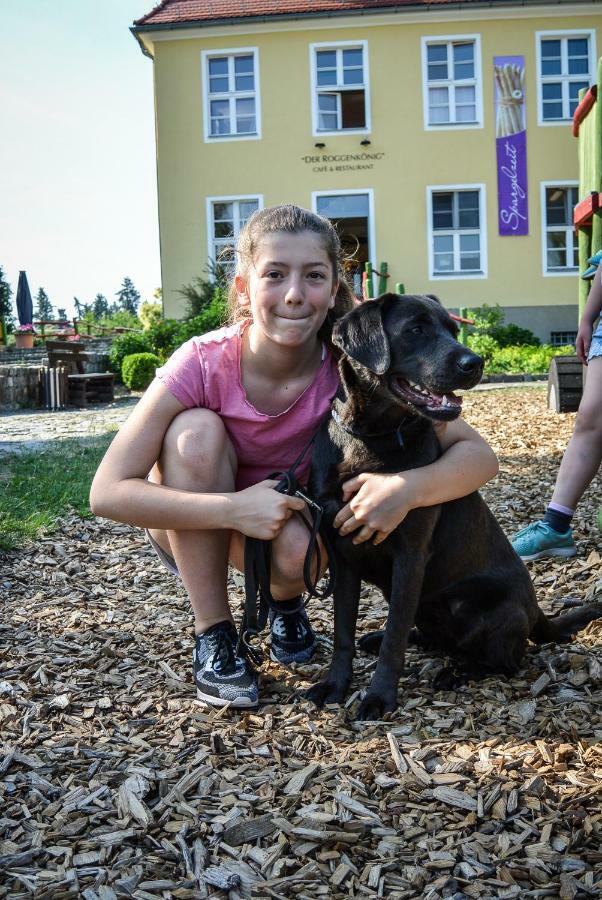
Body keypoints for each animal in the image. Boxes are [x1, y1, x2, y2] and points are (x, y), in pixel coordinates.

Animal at [308, 296, 596, 724]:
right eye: (416, 330)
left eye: (453, 330)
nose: (475, 362)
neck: (371, 439)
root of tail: (537, 612)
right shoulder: (343, 555)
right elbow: (344, 630)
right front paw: (335, 684)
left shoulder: (409, 557)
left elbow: (395, 636)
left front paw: (379, 696)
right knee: (429, 636)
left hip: (488, 611)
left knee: (507, 661)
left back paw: (457, 672)